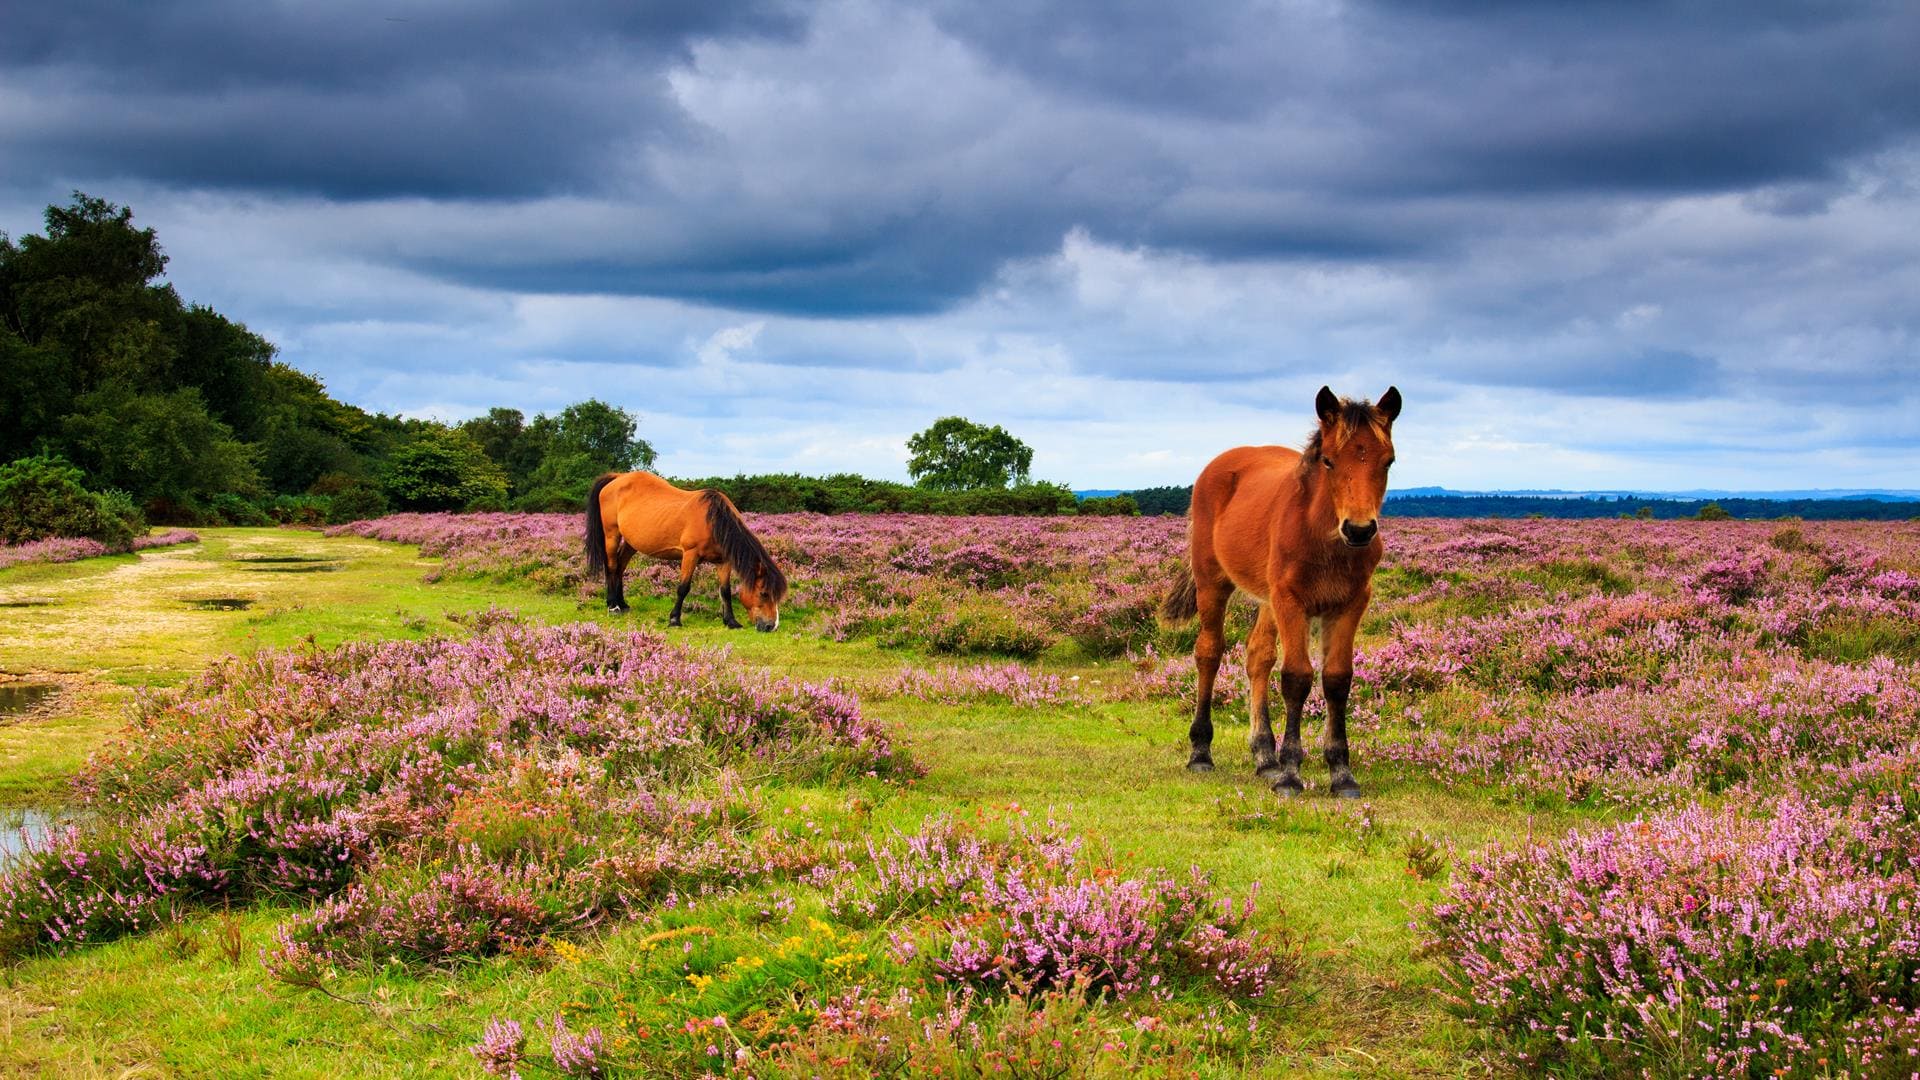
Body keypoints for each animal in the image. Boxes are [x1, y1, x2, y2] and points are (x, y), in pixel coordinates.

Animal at [587, 470, 791, 630]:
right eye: (764, 593)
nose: (772, 626)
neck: (714, 522)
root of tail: (618, 477)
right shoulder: (690, 555)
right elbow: (683, 588)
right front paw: (674, 619)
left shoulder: (723, 561)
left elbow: (725, 590)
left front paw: (731, 621)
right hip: (612, 535)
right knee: (612, 567)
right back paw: (613, 605)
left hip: (631, 542)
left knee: (620, 567)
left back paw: (622, 604)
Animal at [1159, 384, 1405, 791]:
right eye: (1328, 461)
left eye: (1388, 461)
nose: (1359, 530)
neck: (1323, 539)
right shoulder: (1292, 601)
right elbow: (1296, 677)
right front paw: (1291, 773)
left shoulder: (1350, 603)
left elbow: (1337, 679)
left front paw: (1341, 773)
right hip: (1213, 583)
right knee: (1209, 652)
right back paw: (1201, 752)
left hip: (1267, 600)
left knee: (1258, 655)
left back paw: (1264, 756)